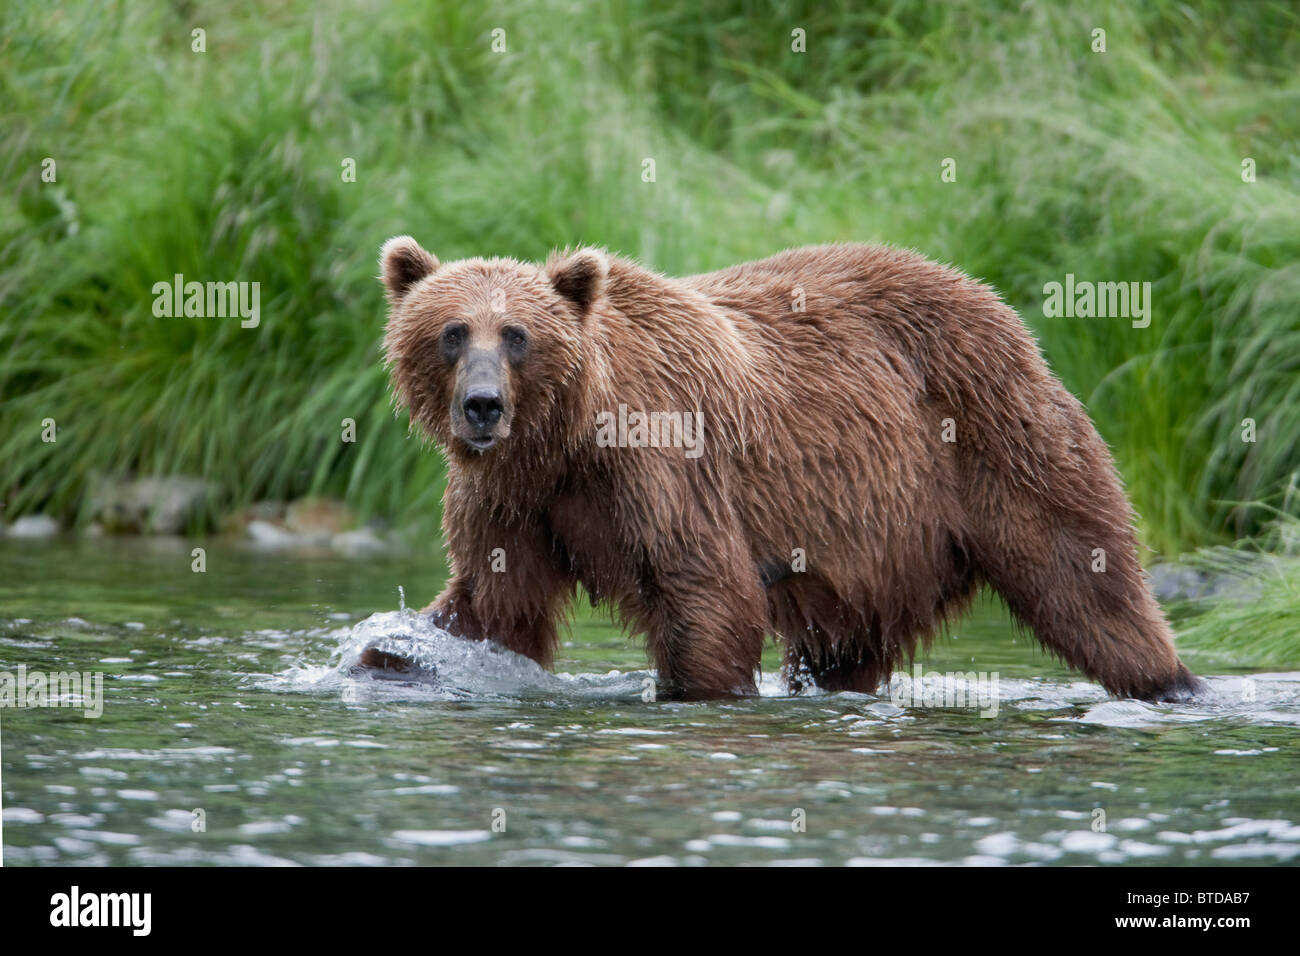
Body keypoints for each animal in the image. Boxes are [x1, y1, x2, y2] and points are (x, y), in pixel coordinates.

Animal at [371, 238, 1201, 702]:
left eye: (516, 334)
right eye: (452, 332)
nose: (482, 406)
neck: (566, 439)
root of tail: (1002, 309)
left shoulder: (658, 466)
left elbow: (707, 592)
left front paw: (693, 690)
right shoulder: (512, 499)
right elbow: (493, 606)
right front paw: (394, 653)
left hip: (996, 443)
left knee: (1086, 582)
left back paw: (1172, 684)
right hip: (882, 548)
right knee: (846, 648)